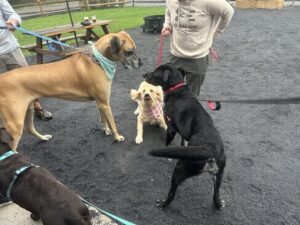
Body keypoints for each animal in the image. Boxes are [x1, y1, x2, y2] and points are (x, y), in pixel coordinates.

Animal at [0, 30, 142, 149]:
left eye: (135, 49)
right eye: (129, 51)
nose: (141, 64)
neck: (98, 61)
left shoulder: (100, 102)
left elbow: (103, 119)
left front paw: (106, 129)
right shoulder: (104, 103)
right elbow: (112, 122)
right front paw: (117, 136)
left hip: (28, 109)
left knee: (29, 128)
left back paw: (43, 137)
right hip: (15, 123)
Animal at [144, 62, 226, 209]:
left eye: (155, 72)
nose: (143, 74)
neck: (178, 89)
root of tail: (211, 149)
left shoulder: (171, 127)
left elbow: (167, 142)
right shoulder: (182, 131)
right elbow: (183, 140)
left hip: (180, 169)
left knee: (171, 194)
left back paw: (162, 204)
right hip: (219, 175)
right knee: (216, 196)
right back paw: (218, 204)